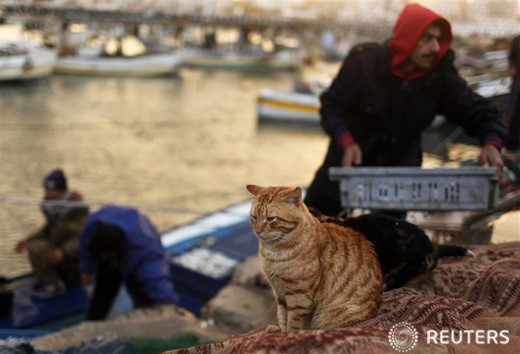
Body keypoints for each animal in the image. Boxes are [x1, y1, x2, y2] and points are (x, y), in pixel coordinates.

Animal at [246, 184, 384, 330]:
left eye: (270, 218)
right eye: (254, 217)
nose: (257, 231)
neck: (273, 253)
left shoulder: (299, 298)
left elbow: (293, 325)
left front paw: (289, 333)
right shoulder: (279, 294)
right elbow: (282, 318)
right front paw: (280, 331)